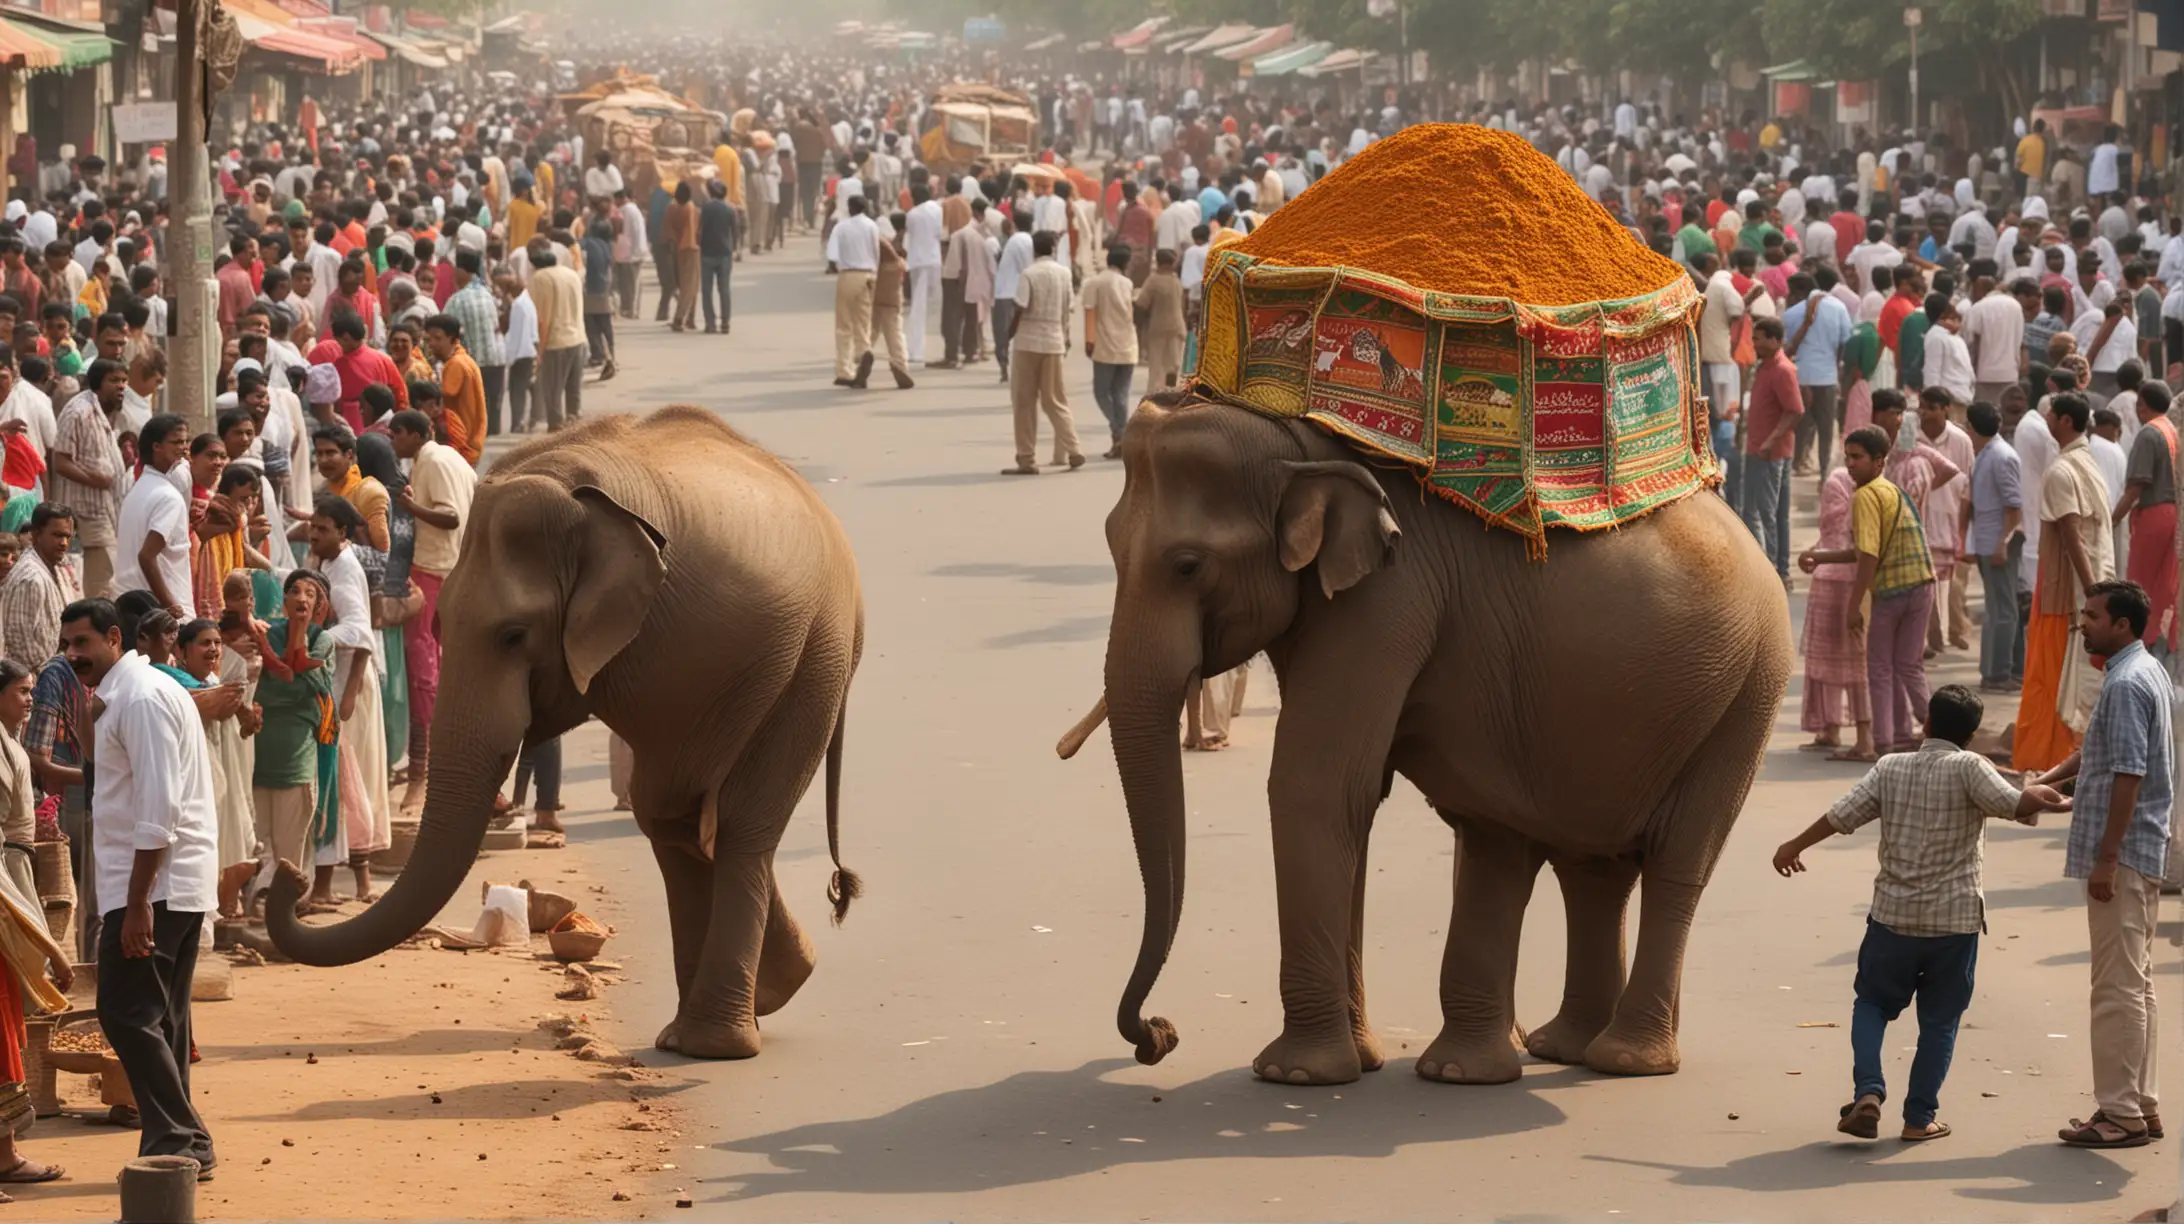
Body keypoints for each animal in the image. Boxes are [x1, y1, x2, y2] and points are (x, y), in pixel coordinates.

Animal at [266, 410, 860, 1062]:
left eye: (513, 635)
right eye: (442, 622)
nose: (291, 876)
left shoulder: (671, 645)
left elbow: (688, 793)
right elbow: (674, 804)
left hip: (811, 661)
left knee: (732, 821)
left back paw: (712, 1042)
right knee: (677, 820)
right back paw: (742, 1007)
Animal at [1057, 389, 1790, 1079]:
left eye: (1187, 565)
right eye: (1112, 547)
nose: (1158, 1035)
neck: (1301, 441)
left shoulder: (1391, 595)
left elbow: (1317, 784)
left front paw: (1295, 1073)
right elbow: (1357, 795)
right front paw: (1359, 1060)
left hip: (1749, 690)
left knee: (1677, 862)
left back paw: (1623, 1060)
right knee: (1591, 866)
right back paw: (1558, 1048)